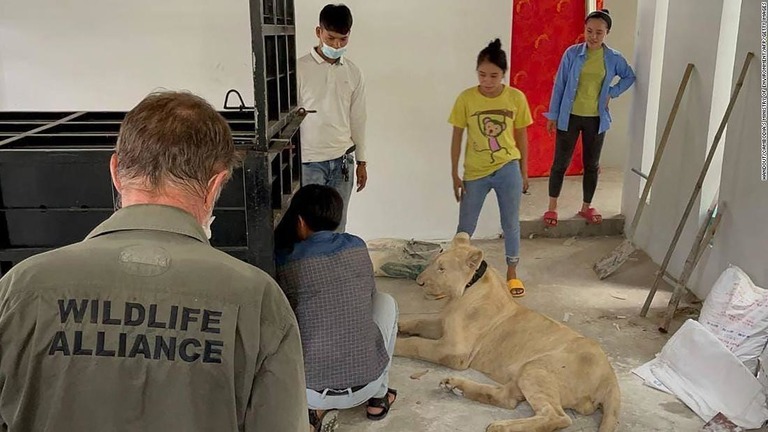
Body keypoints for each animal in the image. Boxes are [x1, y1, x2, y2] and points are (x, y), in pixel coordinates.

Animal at [392, 235, 620, 430]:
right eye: (435, 264)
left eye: (441, 269)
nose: (419, 282)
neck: (467, 288)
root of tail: (610, 377)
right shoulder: (442, 325)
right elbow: (419, 321)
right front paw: (398, 326)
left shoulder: (455, 350)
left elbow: (416, 344)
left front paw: (393, 344)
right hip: (524, 374)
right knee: (507, 399)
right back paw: (455, 386)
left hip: (536, 368)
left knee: (555, 416)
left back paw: (501, 426)